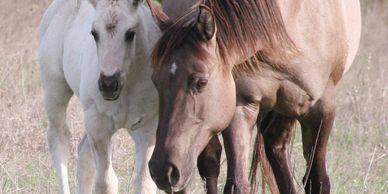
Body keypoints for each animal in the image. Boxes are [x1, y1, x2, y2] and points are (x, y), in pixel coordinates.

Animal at [38, 0, 160, 193]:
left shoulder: (147, 127)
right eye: (94, 33)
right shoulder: (98, 124)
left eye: (130, 33)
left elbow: (144, 182)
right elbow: (106, 183)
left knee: (83, 152)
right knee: (59, 137)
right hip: (54, 89)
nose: (108, 85)